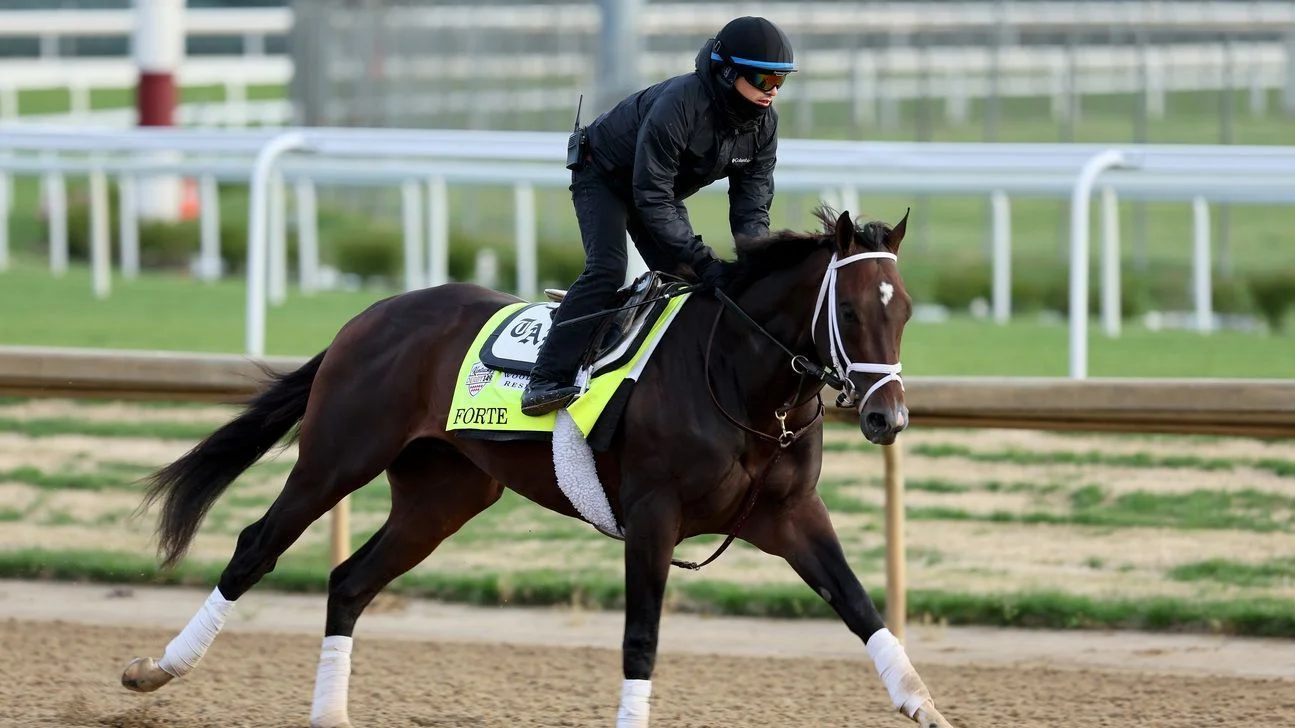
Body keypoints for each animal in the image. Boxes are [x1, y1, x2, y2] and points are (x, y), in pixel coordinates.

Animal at [119, 206, 955, 728]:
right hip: (336, 457)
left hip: (443, 495)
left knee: (349, 581)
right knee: (255, 547)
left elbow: (860, 607)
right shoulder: (653, 517)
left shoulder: (789, 517)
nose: (887, 418)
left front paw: (926, 705)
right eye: (849, 312)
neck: (739, 382)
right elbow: (641, 639)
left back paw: (329, 712)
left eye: (906, 310)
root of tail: (371, 315)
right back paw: (157, 668)